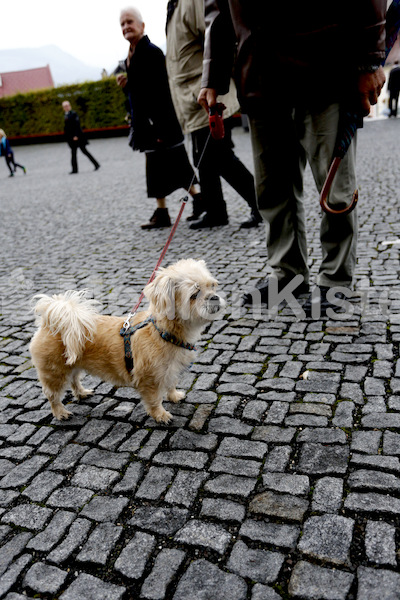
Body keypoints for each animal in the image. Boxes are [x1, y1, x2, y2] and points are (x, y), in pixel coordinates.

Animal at [29, 260, 225, 424]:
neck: (163, 332)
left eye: (213, 286)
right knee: (52, 394)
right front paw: (161, 415)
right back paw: (60, 412)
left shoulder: (170, 370)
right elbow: (155, 400)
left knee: (74, 380)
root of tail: (50, 322)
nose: (214, 297)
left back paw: (82, 393)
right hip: (54, 372)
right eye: (194, 294)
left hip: (73, 362)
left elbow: (171, 384)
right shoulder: (149, 380)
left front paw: (174, 396)